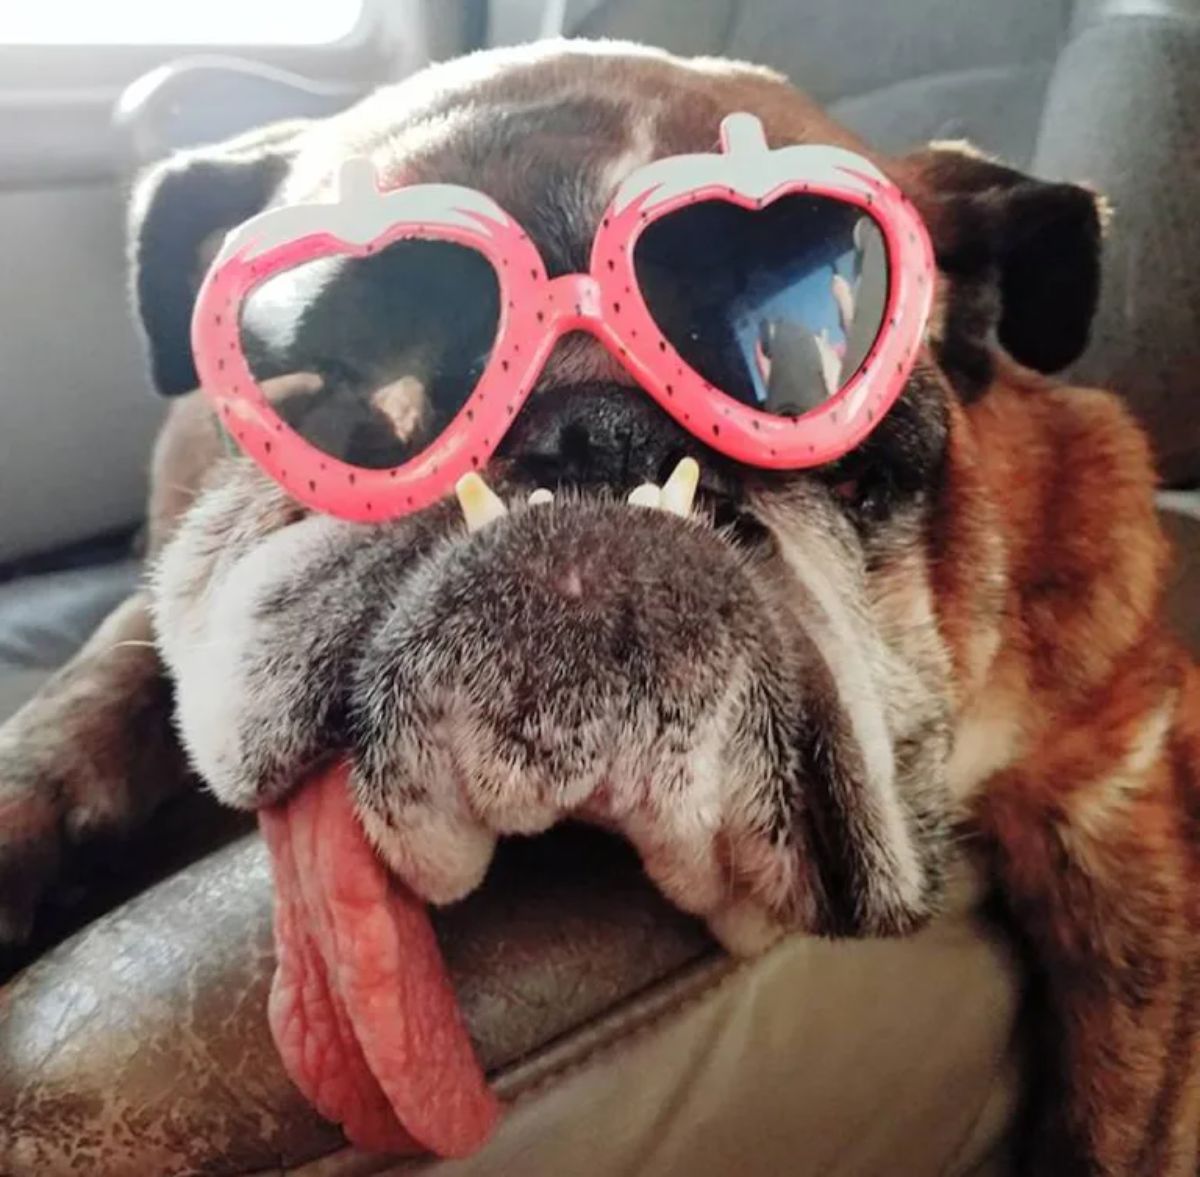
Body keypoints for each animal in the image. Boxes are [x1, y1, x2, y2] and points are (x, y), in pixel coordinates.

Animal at [2, 38, 1200, 1175]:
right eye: (339, 384)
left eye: (851, 457)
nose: (598, 432)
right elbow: (83, 710)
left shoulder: (1115, 779)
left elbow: (1123, 1113)